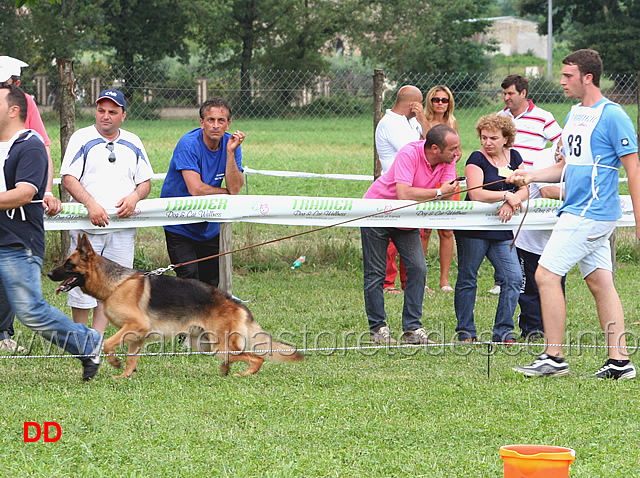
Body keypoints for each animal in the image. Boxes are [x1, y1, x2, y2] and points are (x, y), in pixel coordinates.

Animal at [47, 233, 302, 380]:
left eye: (68, 264)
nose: (48, 274)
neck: (116, 284)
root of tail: (236, 303)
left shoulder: (134, 326)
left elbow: (109, 343)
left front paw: (114, 363)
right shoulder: (137, 335)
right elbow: (131, 359)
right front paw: (125, 375)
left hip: (221, 345)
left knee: (256, 358)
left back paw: (243, 373)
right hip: (206, 345)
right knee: (240, 357)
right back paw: (226, 370)